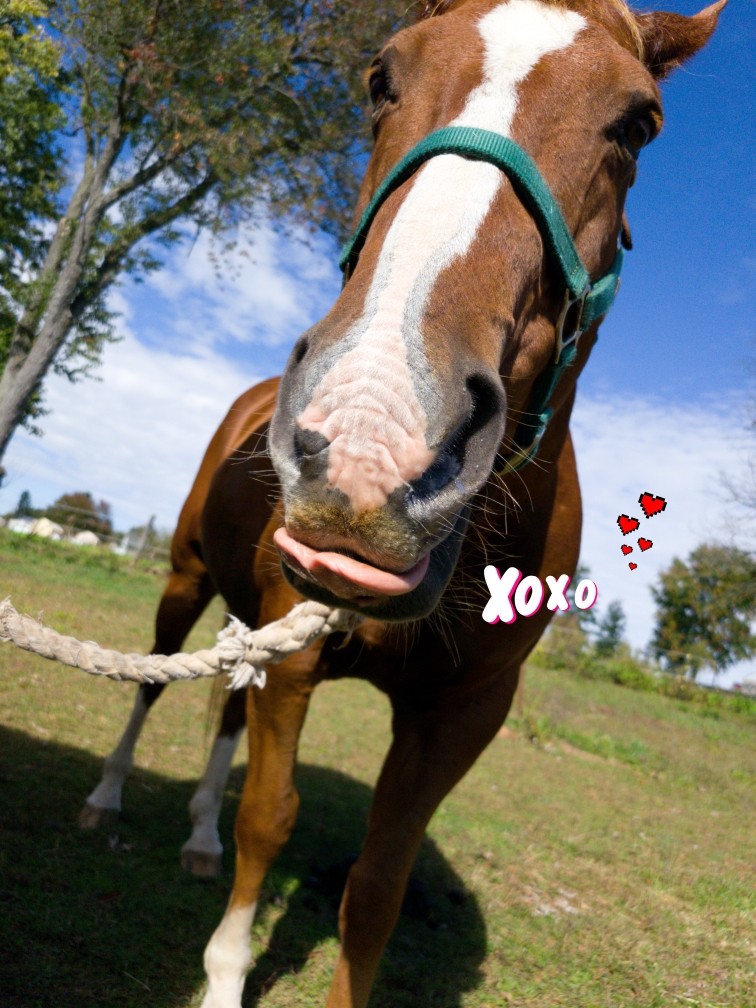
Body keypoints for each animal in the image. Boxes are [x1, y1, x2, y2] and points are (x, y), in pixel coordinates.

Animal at [85, 0, 726, 1002]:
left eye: (637, 125)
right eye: (380, 77)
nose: (370, 436)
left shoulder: (460, 715)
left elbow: (380, 882)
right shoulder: (297, 658)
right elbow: (269, 818)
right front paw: (225, 974)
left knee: (225, 709)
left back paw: (196, 836)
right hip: (186, 580)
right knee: (154, 678)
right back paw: (108, 796)